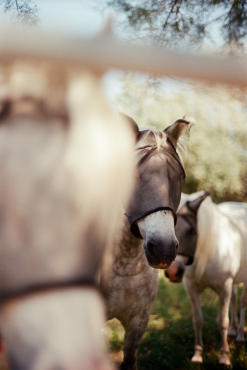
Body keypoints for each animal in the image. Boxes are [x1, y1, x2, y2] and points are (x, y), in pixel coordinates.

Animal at [165, 192, 247, 366]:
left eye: (191, 229)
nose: (172, 272)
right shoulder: (192, 288)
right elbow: (197, 320)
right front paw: (197, 354)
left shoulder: (224, 288)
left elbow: (222, 321)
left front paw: (224, 357)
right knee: (235, 298)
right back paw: (232, 332)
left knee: (243, 303)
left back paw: (239, 336)